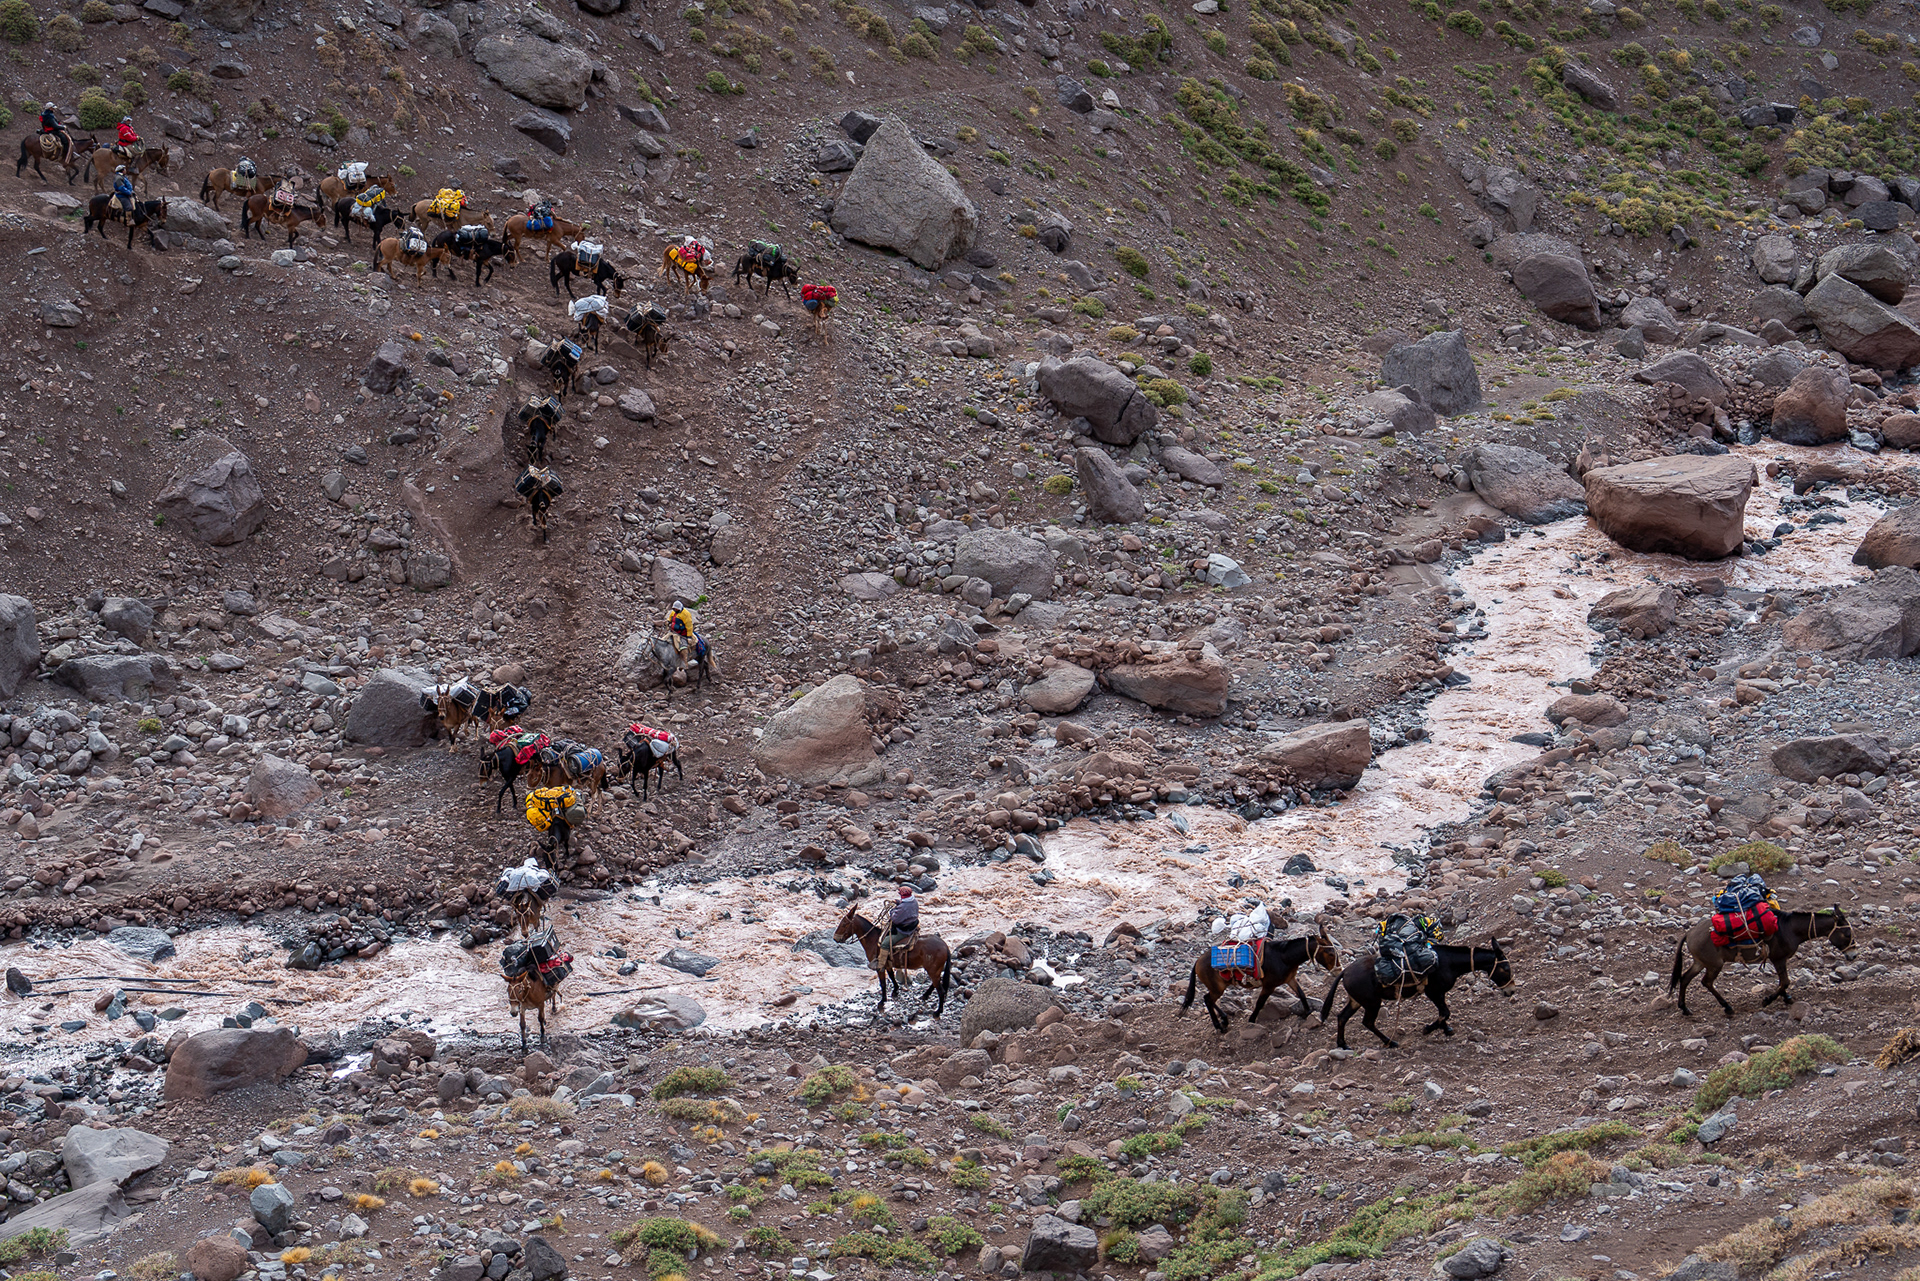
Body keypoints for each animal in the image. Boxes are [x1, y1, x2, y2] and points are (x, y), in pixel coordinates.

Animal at [1181, 922, 1342, 1033]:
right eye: (1331, 954)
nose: (1339, 970)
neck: (1284, 957)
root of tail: (1198, 961)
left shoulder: (1290, 979)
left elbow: (1302, 994)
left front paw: (1308, 1012)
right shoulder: (1269, 986)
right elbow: (1260, 1003)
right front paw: (1252, 1020)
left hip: (1218, 987)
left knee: (1208, 1000)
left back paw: (1223, 1021)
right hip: (1217, 988)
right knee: (1208, 1000)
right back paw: (1220, 1025)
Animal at [1321, 939, 1515, 1050]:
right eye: (1506, 968)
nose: (1511, 990)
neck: (1448, 962)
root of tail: (1345, 972)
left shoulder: (1438, 994)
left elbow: (1443, 1013)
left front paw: (1446, 1029)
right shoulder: (1434, 992)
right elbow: (1445, 1012)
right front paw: (1428, 1029)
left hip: (1357, 1000)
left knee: (1342, 1017)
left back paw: (1343, 1044)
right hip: (1372, 1002)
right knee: (1367, 1022)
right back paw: (1390, 1042)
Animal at [1668, 907, 1853, 1018]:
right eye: (1848, 934)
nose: (1854, 956)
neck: (1790, 929)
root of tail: (1689, 933)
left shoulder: (1778, 960)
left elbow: (1783, 982)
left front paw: (1786, 998)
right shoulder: (1779, 958)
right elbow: (1785, 981)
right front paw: (1768, 1000)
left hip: (1700, 962)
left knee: (1685, 978)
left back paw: (1684, 1008)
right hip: (1714, 964)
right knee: (1706, 982)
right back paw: (1727, 1007)